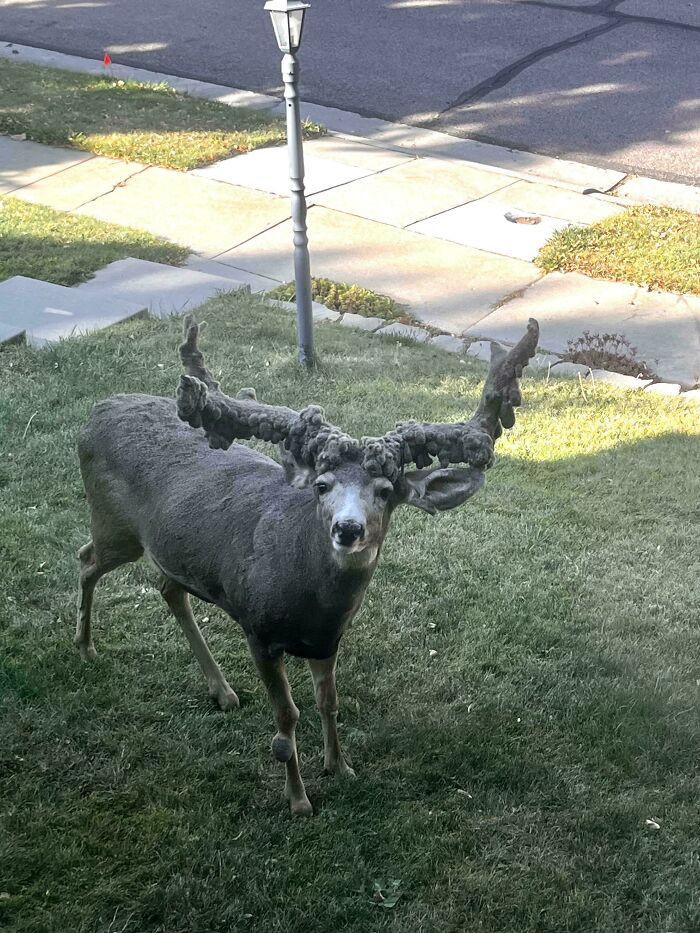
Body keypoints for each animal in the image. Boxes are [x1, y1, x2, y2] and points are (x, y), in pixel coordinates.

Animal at [76, 315, 539, 815]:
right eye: (321, 485)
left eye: (385, 491)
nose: (348, 529)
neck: (309, 599)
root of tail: (96, 413)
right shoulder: (258, 631)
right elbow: (285, 719)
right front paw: (298, 800)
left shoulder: (327, 639)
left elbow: (329, 701)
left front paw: (339, 766)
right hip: (114, 526)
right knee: (86, 560)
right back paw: (85, 647)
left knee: (167, 588)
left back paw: (222, 691)